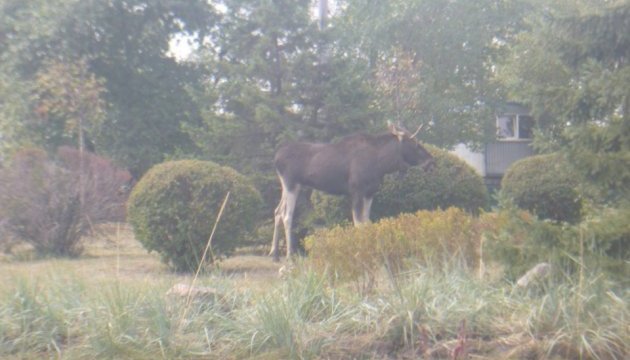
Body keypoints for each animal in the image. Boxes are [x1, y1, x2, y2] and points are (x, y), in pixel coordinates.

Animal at [270, 122, 436, 260]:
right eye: (415, 144)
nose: (431, 161)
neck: (381, 164)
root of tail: (276, 157)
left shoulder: (370, 193)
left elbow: (367, 222)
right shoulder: (356, 191)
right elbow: (358, 223)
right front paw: (359, 251)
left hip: (290, 186)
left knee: (277, 211)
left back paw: (274, 254)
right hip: (291, 183)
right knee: (287, 215)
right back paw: (289, 255)